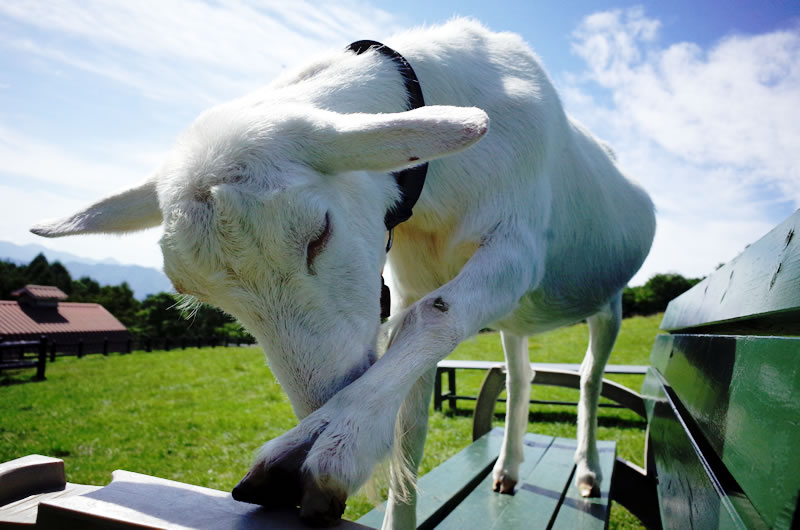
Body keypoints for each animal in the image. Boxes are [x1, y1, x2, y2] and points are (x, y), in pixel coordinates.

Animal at [32, 18, 656, 524]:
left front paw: (329, 442)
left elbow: (428, 319)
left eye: (319, 233)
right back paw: (506, 469)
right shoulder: (416, 274)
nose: (328, 395)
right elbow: (411, 421)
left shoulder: (517, 247)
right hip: (517, 317)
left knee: (589, 377)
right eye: (202, 296)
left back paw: (589, 472)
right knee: (521, 371)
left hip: (608, 304)